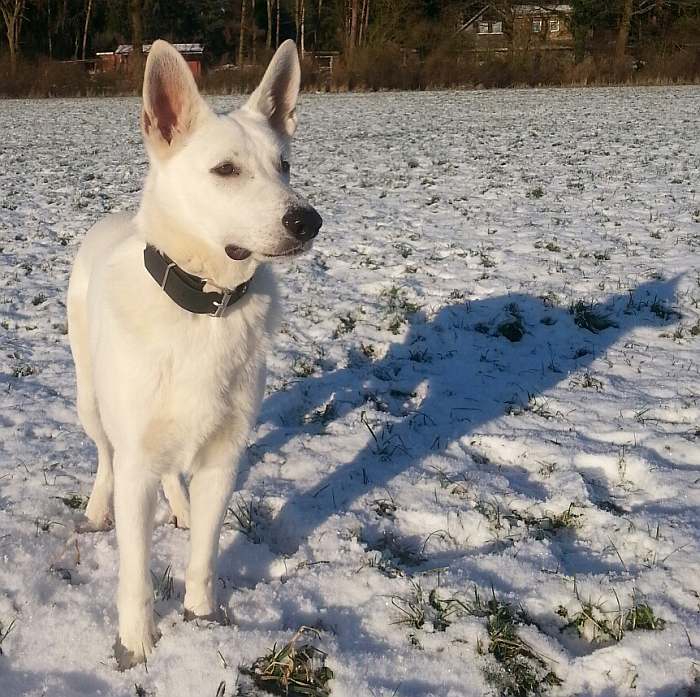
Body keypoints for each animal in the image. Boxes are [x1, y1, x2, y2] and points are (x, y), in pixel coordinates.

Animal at [67, 39, 322, 668]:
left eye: (284, 166)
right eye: (226, 170)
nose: (307, 220)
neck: (204, 307)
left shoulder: (224, 457)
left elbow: (205, 554)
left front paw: (202, 620)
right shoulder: (136, 459)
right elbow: (135, 570)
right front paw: (136, 643)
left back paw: (179, 506)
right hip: (92, 402)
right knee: (105, 456)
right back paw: (97, 506)